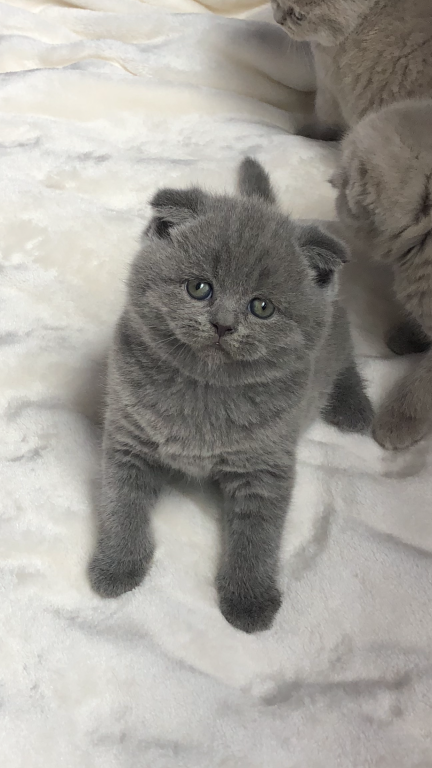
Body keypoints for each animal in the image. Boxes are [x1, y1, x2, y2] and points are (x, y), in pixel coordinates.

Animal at [88, 159, 372, 632]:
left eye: (262, 307)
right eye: (199, 288)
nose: (223, 324)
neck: (206, 390)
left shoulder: (266, 464)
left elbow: (258, 534)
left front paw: (249, 599)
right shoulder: (128, 439)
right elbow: (121, 502)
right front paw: (117, 565)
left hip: (333, 338)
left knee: (346, 354)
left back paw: (356, 409)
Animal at [272, 0, 432, 141]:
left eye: (299, 16)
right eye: (277, 0)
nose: (277, 20)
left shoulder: (328, 86)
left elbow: (325, 117)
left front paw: (309, 133)